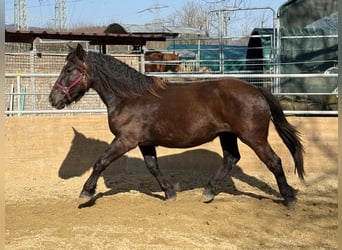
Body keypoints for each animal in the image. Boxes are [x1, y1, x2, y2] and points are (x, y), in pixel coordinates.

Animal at [49, 44, 304, 205]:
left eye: (69, 70)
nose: (53, 99)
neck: (129, 97)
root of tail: (257, 90)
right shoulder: (144, 142)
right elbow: (153, 167)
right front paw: (169, 192)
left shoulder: (125, 140)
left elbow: (100, 162)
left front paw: (86, 192)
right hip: (227, 135)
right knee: (231, 159)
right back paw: (208, 192)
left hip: (254, 137)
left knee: (274, 161)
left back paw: (289, 197)